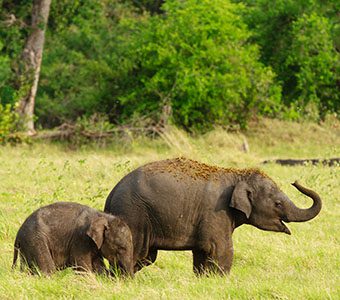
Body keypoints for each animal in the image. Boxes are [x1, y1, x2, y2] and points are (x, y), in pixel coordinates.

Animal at [103, 158, 322, 276]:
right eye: (277, 204)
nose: (295, 181)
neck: (237, 174)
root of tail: (111, 195)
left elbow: (202, 252)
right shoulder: (216, 212)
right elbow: (221, 250)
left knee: (145, 257)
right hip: (133, 215)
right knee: (134, 254)